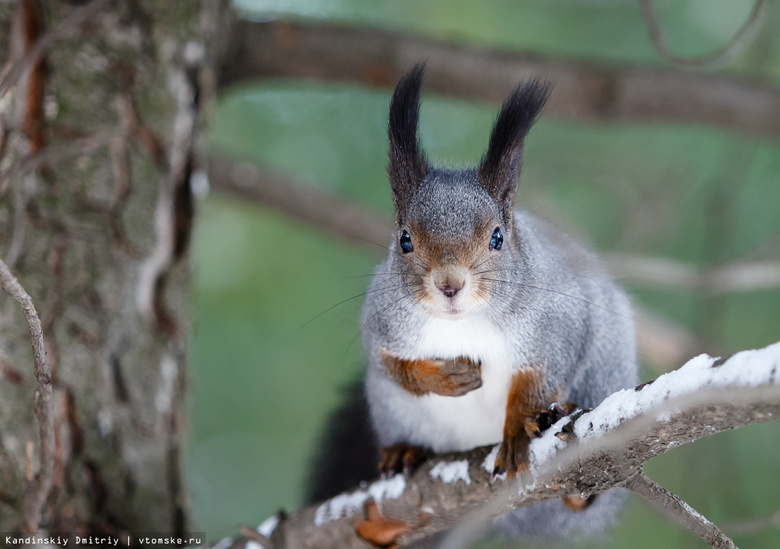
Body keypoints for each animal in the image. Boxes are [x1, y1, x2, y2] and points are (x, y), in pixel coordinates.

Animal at [308, 63, 636, 540]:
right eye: (404, 239)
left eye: (497, 238)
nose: (449, 285)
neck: (461, 322)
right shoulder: (383, 322)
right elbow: (392, 364)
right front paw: (445, 378)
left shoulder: (559, 323)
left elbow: (541, 376)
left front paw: (518, 427)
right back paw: (403, 458)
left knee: (580, 496)